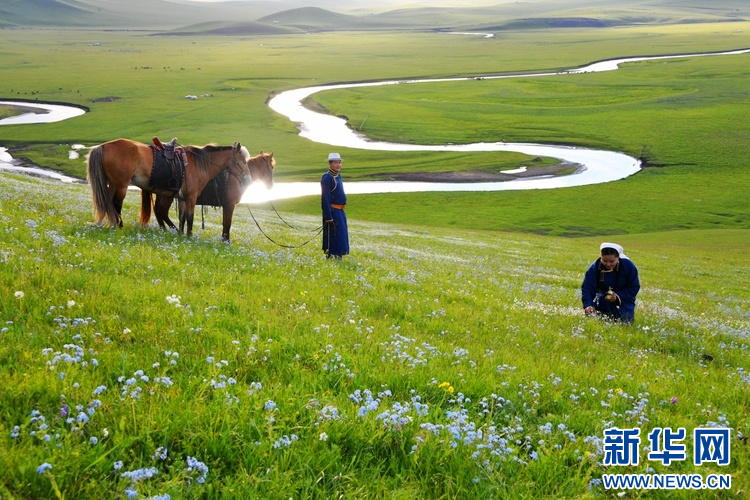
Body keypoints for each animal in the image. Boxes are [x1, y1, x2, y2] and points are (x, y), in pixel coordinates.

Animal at [85, 138, 250, 235]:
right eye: (243, 161)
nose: (248, 180)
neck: (198, 164)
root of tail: (103, 146)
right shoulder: (191, 198)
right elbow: (190, 218)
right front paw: (189, 236)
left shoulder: (182, 198)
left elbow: (183, 218)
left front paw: (181, 234)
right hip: (121, 185)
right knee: (116, 204)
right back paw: (119, 226)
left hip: (113, 184)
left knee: (109, 203)